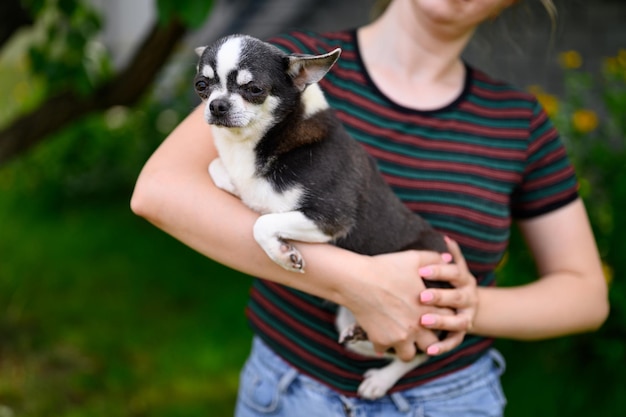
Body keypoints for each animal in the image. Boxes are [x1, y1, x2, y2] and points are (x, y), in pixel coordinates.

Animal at [194, 34, 448, 398]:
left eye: (254, 89)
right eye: (201, 86)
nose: (217, 105)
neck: (258, 142)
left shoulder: (330, 220)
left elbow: (262, 223)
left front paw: (284, 255)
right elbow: (218, 169)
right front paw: (233, 184)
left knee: (420, 352)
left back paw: (382, 380)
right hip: (349, 315)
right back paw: (361, 334)